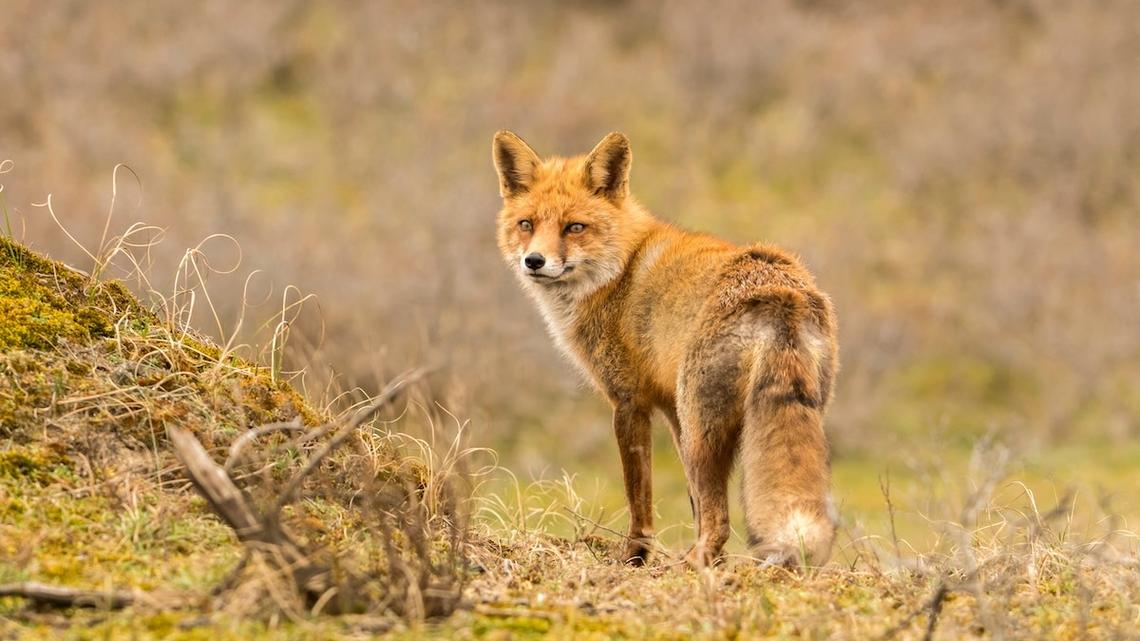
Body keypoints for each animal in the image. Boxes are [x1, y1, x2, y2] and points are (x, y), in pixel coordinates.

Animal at [492, 130, 839, 569]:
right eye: (527, 224)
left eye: (575, 227)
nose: (534, 261)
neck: (617, 270)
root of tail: (781, 291)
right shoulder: (670, 410)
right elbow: (692, 504)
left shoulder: (629, 401)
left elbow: (639, 496)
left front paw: (635, 556)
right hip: (759, 419)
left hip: (701, 431)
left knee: (721, 519)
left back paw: (695, 563)